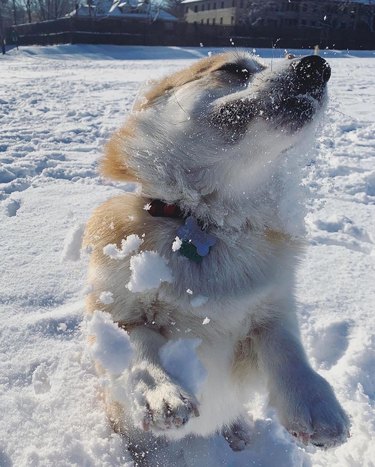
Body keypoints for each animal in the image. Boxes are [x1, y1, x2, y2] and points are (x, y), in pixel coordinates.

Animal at [83, 50, 352, 464]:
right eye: (235, 70)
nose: (316, 64)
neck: (207, 220)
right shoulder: (110, 313)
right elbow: (140, 344)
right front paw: (163, 392)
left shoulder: (271, 311)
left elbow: (287, 348)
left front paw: (316, 406)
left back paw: (237, 431)